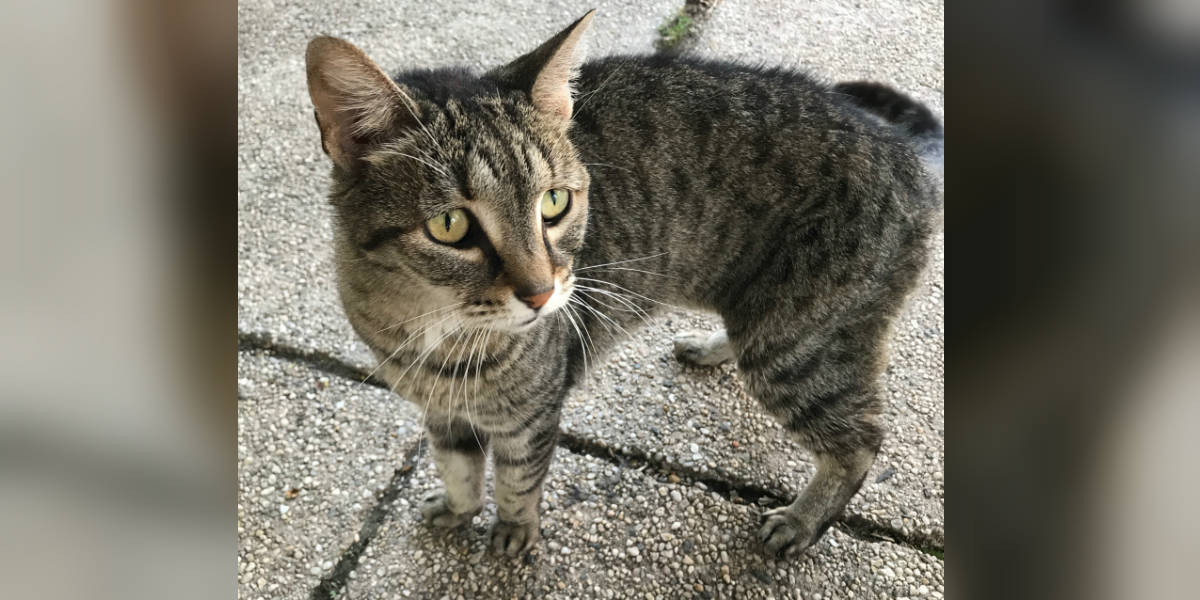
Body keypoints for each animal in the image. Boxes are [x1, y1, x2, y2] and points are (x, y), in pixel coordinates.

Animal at [304, 10, 940, 556]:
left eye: (554, 203)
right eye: (450, 226)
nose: (541, 294)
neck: (437, 332)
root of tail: (907, 155)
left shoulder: (531, 416)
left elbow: (517, 482)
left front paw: (513, 532)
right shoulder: (440, 411)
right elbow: (458, 468)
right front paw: (459, 510)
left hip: (799, 343)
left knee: (860, 444)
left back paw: (803, 522)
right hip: (775, 325)